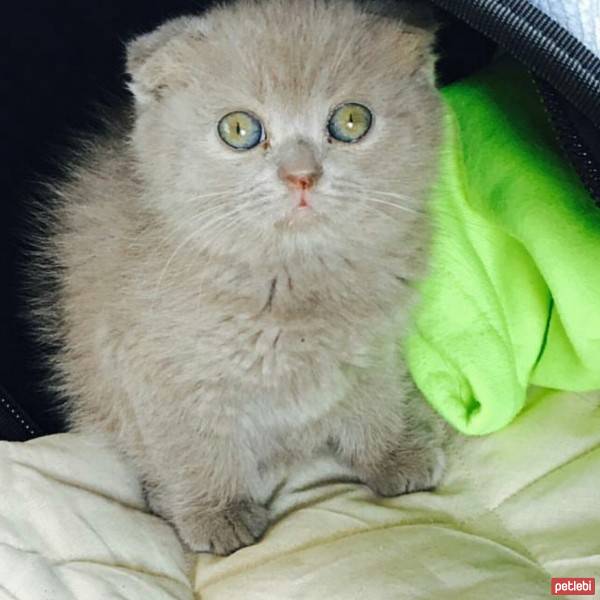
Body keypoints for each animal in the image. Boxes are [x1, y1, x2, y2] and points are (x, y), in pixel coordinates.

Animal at [32, 0, 446, 556]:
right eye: (239, 130)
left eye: (351, 120)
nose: (301, 175)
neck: (292, 285)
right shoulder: (157, 372)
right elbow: (193, 447)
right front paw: (216, 512)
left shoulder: (372, 351)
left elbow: (376, 400)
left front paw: (394, 452)